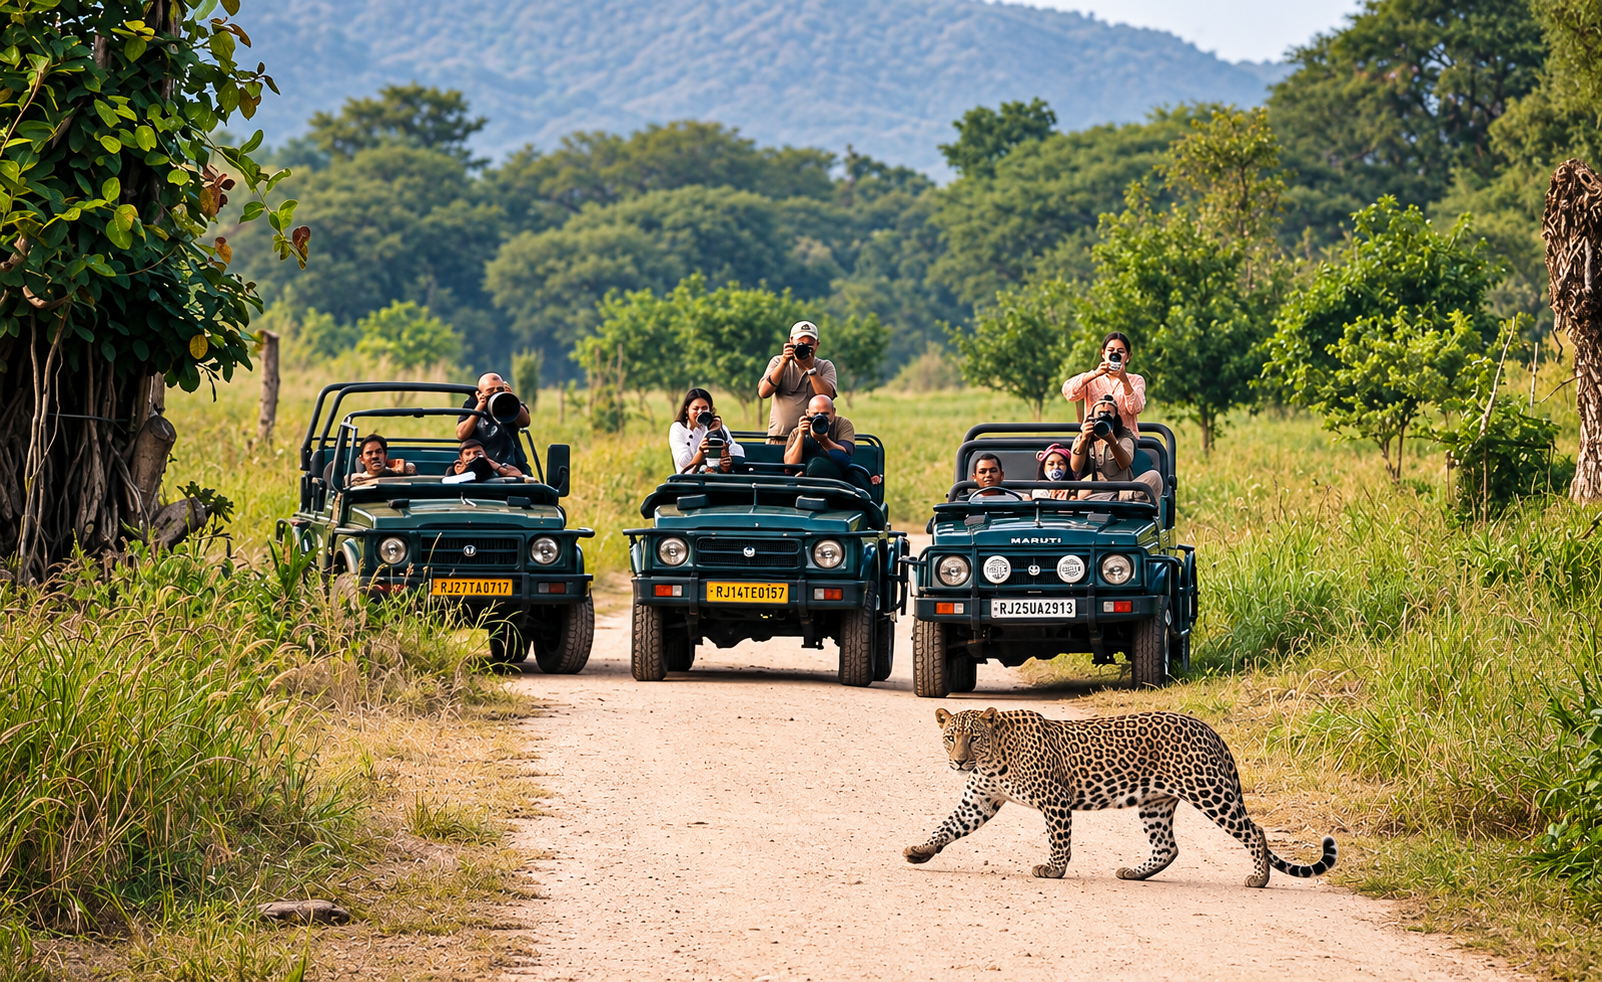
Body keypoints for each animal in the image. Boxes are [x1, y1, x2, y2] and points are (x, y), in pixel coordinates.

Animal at [902, 707, 1337, 887]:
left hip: (1209, 791)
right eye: (950, 737)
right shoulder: (979, 802)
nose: (959, 761)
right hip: (1155, 803)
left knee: (1255, 831)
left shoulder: (1055, 799)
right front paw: (920, 851)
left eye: (973, 737)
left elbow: (1059, 841)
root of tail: (1209, 728)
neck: (993, 760)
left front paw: (1054, 871)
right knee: (1168, 847)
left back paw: (1259, 878)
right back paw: (1134, 873)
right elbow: (947, 827)